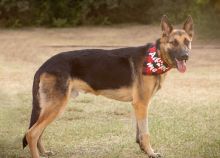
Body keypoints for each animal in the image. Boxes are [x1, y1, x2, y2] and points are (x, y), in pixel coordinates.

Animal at [23, 15, 193, 158]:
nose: (185, 56)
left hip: (51, 107)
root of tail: (44, 65)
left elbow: (139, 132)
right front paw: (151, 153)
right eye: (174, 42)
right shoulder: (141, 104)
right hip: (56, 106)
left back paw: (44, 152)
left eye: (187, 42)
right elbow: (145, 133)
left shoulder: (138, 105)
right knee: (32, 133)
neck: (156, 56)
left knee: (38, 132)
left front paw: (144, 150)